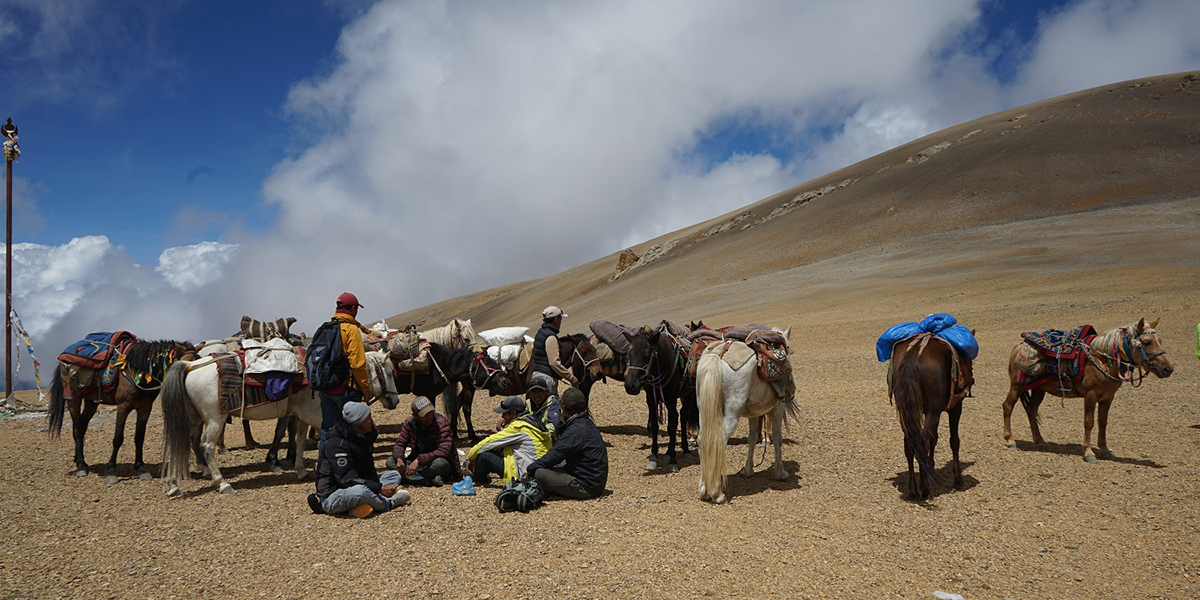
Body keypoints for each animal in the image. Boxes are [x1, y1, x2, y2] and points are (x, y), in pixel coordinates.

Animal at [48, 340, 196, 484]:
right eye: (185, 363)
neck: (136, 371)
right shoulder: (123, 407)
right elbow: (118, 438)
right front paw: (111, 471)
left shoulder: (145, 408)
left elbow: (139, 437)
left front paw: (141, 468)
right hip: (73, 399)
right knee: (77, 429)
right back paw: (80, 466)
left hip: (91, 402)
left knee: (82, 426)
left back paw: (81, 461)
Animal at [624, 326, 700, 470]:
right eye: (629, 356)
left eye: (646, 356)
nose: (630, 386)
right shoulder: (651, 400)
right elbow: (654, 426)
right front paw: (653, 457)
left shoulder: (671, 399)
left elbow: (671, 426)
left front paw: (673, 460)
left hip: (689, 394)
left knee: (682, 416)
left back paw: (685, 450)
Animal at [696, 326, 796, 504]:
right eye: (789, 349)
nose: (792, 388)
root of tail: (718, 355)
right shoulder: (778, 407)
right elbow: (778, 438)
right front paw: (781, 472)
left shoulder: (753, 412)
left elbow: (752, 439)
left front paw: (748, 470)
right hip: (731, 413)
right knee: (718, 441)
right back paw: (717, 493)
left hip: (703, 408)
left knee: (703, 441)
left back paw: (703, 490)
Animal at [892, 333, 974, 501]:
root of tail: (914, 353)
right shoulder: (955, 407)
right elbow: (954, 441)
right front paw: (958, 480)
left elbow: (934, 438)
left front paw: (932, 465)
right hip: (933, 412)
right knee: (922, 443)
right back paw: (925, 490)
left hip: (906, 410)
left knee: (910, 443)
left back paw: (913, 490)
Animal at [998, 319, 1176, 463]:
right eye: (1146, 342)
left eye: (1159, 340)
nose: (1168, 369)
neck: (1103, 360)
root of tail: (1018, 347)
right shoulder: (1090, 395)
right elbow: (1089, 422)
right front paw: (1089, 453)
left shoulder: (1108, 398)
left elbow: (1103, 422)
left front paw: (1105, 450)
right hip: (1017, 386)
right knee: (1008, 406)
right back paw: (1010, 440)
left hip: (1038, 389)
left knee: (1032, 410)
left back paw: (1041, 442)